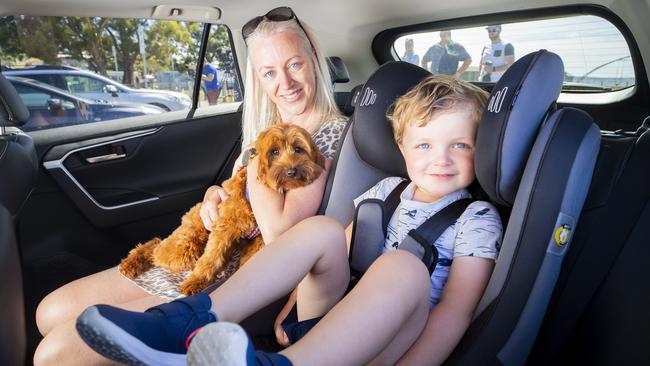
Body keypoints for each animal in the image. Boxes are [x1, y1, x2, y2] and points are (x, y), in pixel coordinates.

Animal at [118, 124, 324, 296]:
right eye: (274, 152)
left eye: (298, 149)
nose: (292, 171)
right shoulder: (225, 228)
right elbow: (211, 258)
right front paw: (196, 281)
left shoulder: (258, 241)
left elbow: (247, 261)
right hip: (185, 249)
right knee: (155, 245)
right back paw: (130, 263)